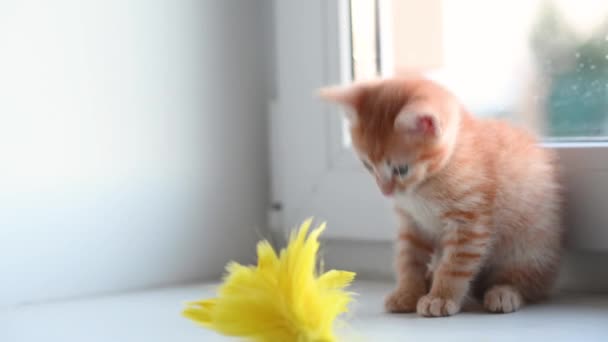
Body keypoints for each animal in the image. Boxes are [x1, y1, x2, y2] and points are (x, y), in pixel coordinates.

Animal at [320, 76, 564, 316]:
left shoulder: (469, 223)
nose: (385, 191)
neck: (424, 186)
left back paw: (504, 292)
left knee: (530, 281)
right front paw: (407, 292)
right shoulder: (412, 224)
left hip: (529, 245)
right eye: (368, 165)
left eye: (401, 170)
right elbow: (408, 260)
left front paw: (440, 297)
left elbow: (454, 265)